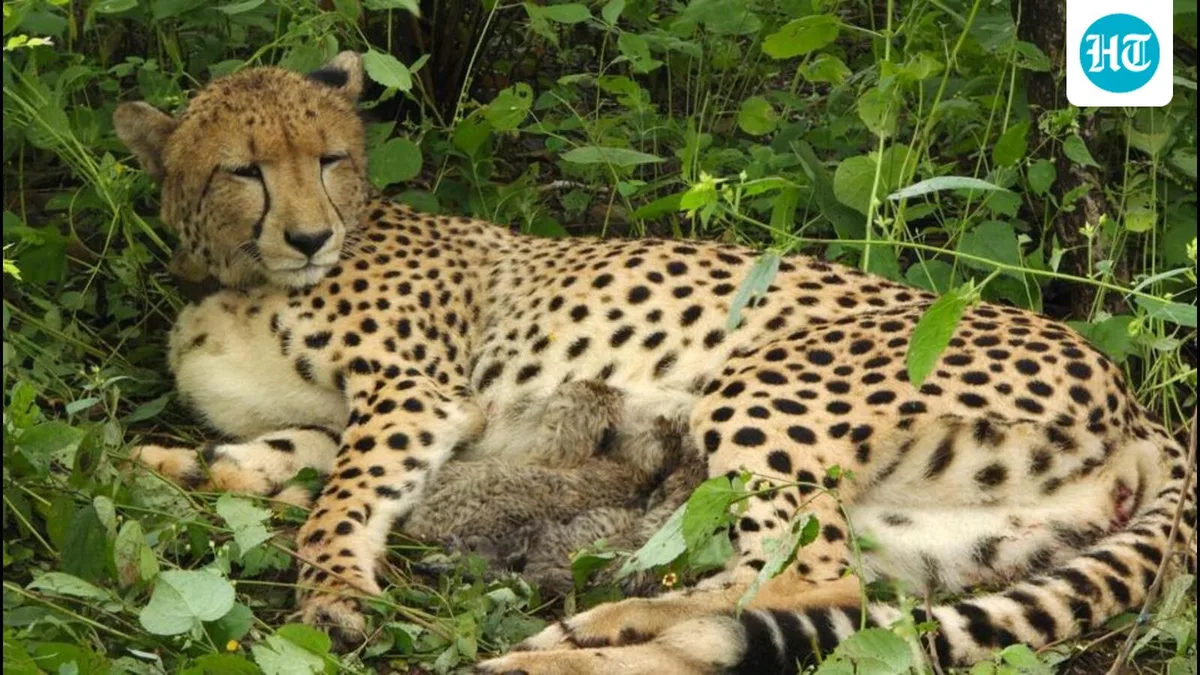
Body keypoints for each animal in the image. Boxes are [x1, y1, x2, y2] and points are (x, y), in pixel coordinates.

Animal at [114, 51, 1195, 674]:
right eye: (243, 169)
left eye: (330, 159)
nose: (308, 236)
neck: (239, 275)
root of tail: (1139, 402)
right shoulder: (346, 417)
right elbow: (273, 458)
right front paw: (167, 465)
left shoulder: (416, 395)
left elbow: (340, 497)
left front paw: (334, 593)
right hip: (941, 531)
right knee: (830, 598)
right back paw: (577, 643)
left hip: (763, 388)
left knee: (804, 582)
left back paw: (581, 640)